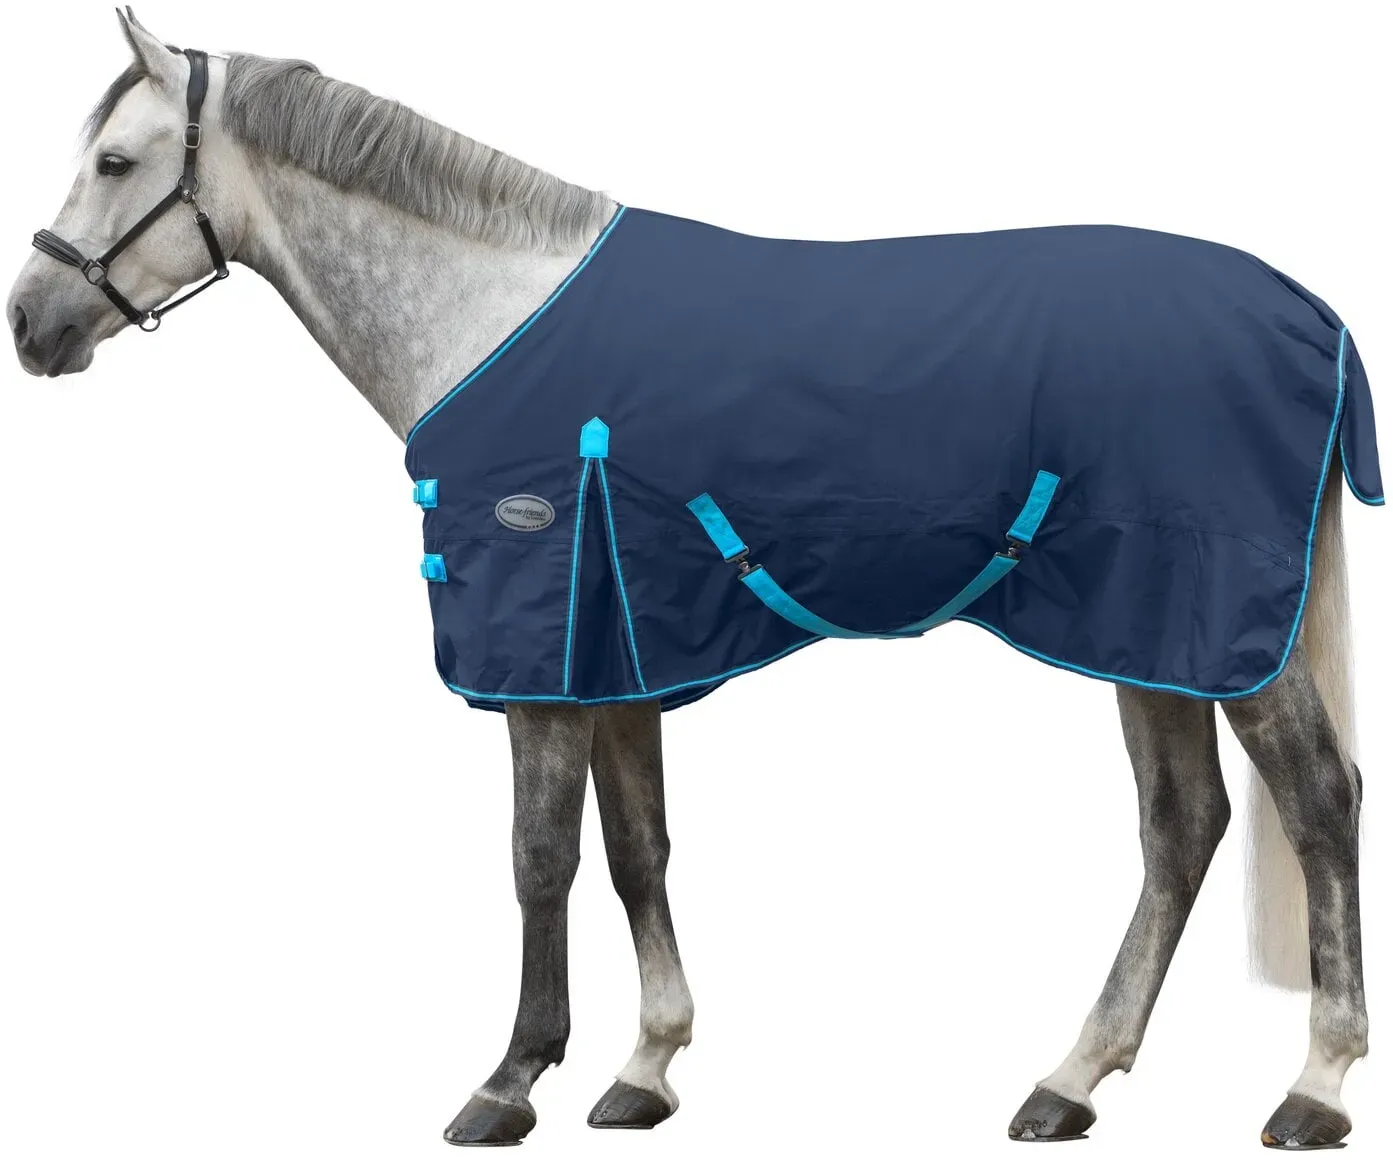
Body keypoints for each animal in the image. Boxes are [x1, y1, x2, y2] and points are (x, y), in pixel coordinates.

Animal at [6, 10, 1376, 1149]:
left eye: (114, 162)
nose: (31, 323)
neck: (489, 311)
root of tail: (1309, 312)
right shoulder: (618, 651)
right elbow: (637, 851)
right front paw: (645, 1068)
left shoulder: (547, 654)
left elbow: (539, 857)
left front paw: (510, 1080)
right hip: (1150, 631)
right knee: (1180, 826)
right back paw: (1068, 1079)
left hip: (1217, 632)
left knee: (1319, 801)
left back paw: (1313, 1086)